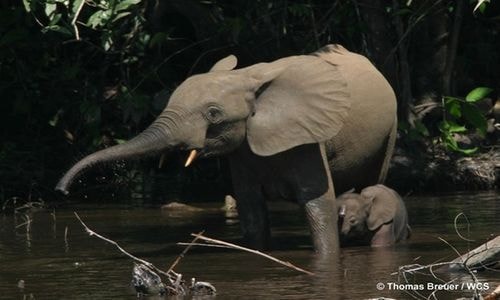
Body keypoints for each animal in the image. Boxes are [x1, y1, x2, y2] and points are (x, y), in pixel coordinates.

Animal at [55, 45, 398, 254]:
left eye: (213, 114)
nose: (62, 191)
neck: (247, 77)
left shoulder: (308, 139)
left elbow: (318, 204)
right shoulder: (243, 150)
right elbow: (251, 211)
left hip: (390, 130)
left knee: (373, 182)